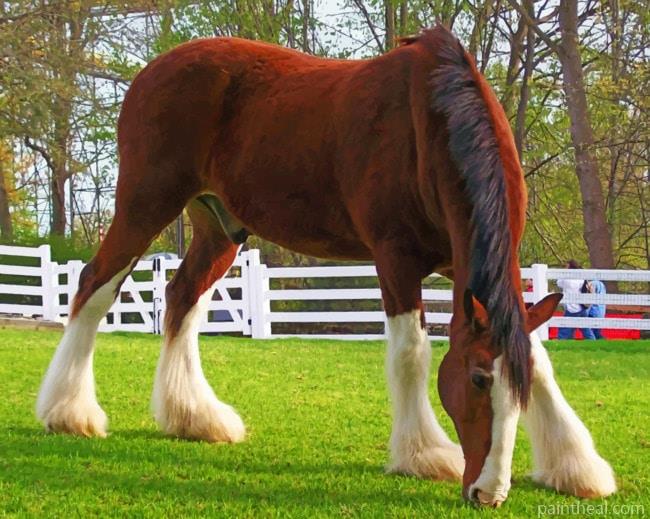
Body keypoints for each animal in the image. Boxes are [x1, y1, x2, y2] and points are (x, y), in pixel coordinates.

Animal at [36, 25, 616, 506]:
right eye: (475, 380)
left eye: (515, 393)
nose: (488, 493)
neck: (430, 124)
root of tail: (153, 69)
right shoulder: (396, 258)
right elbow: (411, 353)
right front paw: (424, 455)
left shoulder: (466, 267)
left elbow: (537, 357)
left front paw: (576, 467)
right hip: (145, 201)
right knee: (95, 286)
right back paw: (69, 412)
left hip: (218, 225)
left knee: (182, 298)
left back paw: (195, 418)